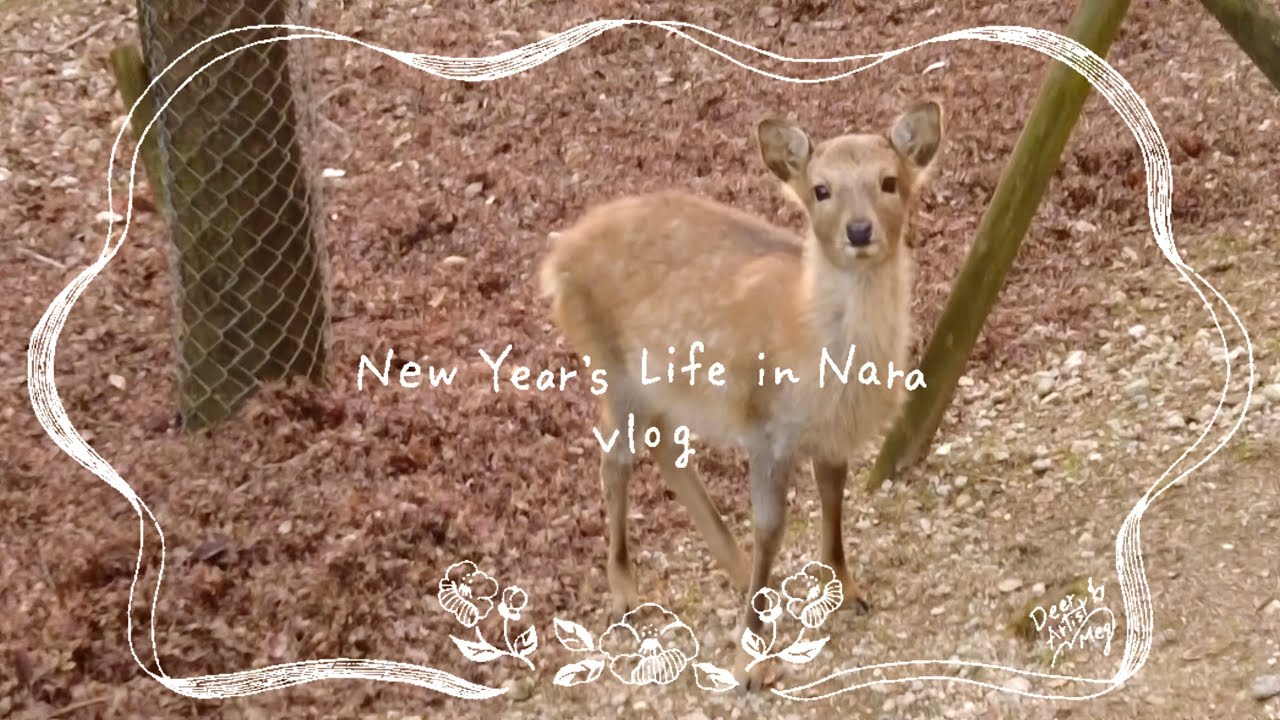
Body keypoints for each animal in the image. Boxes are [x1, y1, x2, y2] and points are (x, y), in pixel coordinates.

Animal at [539, 100, 943, 688]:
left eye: (889, 180)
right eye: (821, 189)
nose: (859, 230)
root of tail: (555, 259)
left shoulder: (830, 435)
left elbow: (833, 500)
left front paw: (848, 591)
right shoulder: (768, 428)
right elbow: (771, 527)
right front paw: (751, 662)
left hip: (664, 385)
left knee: (665, 449)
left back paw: (734, 570)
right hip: (610, 364)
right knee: (615, 461)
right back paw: (627, 594)